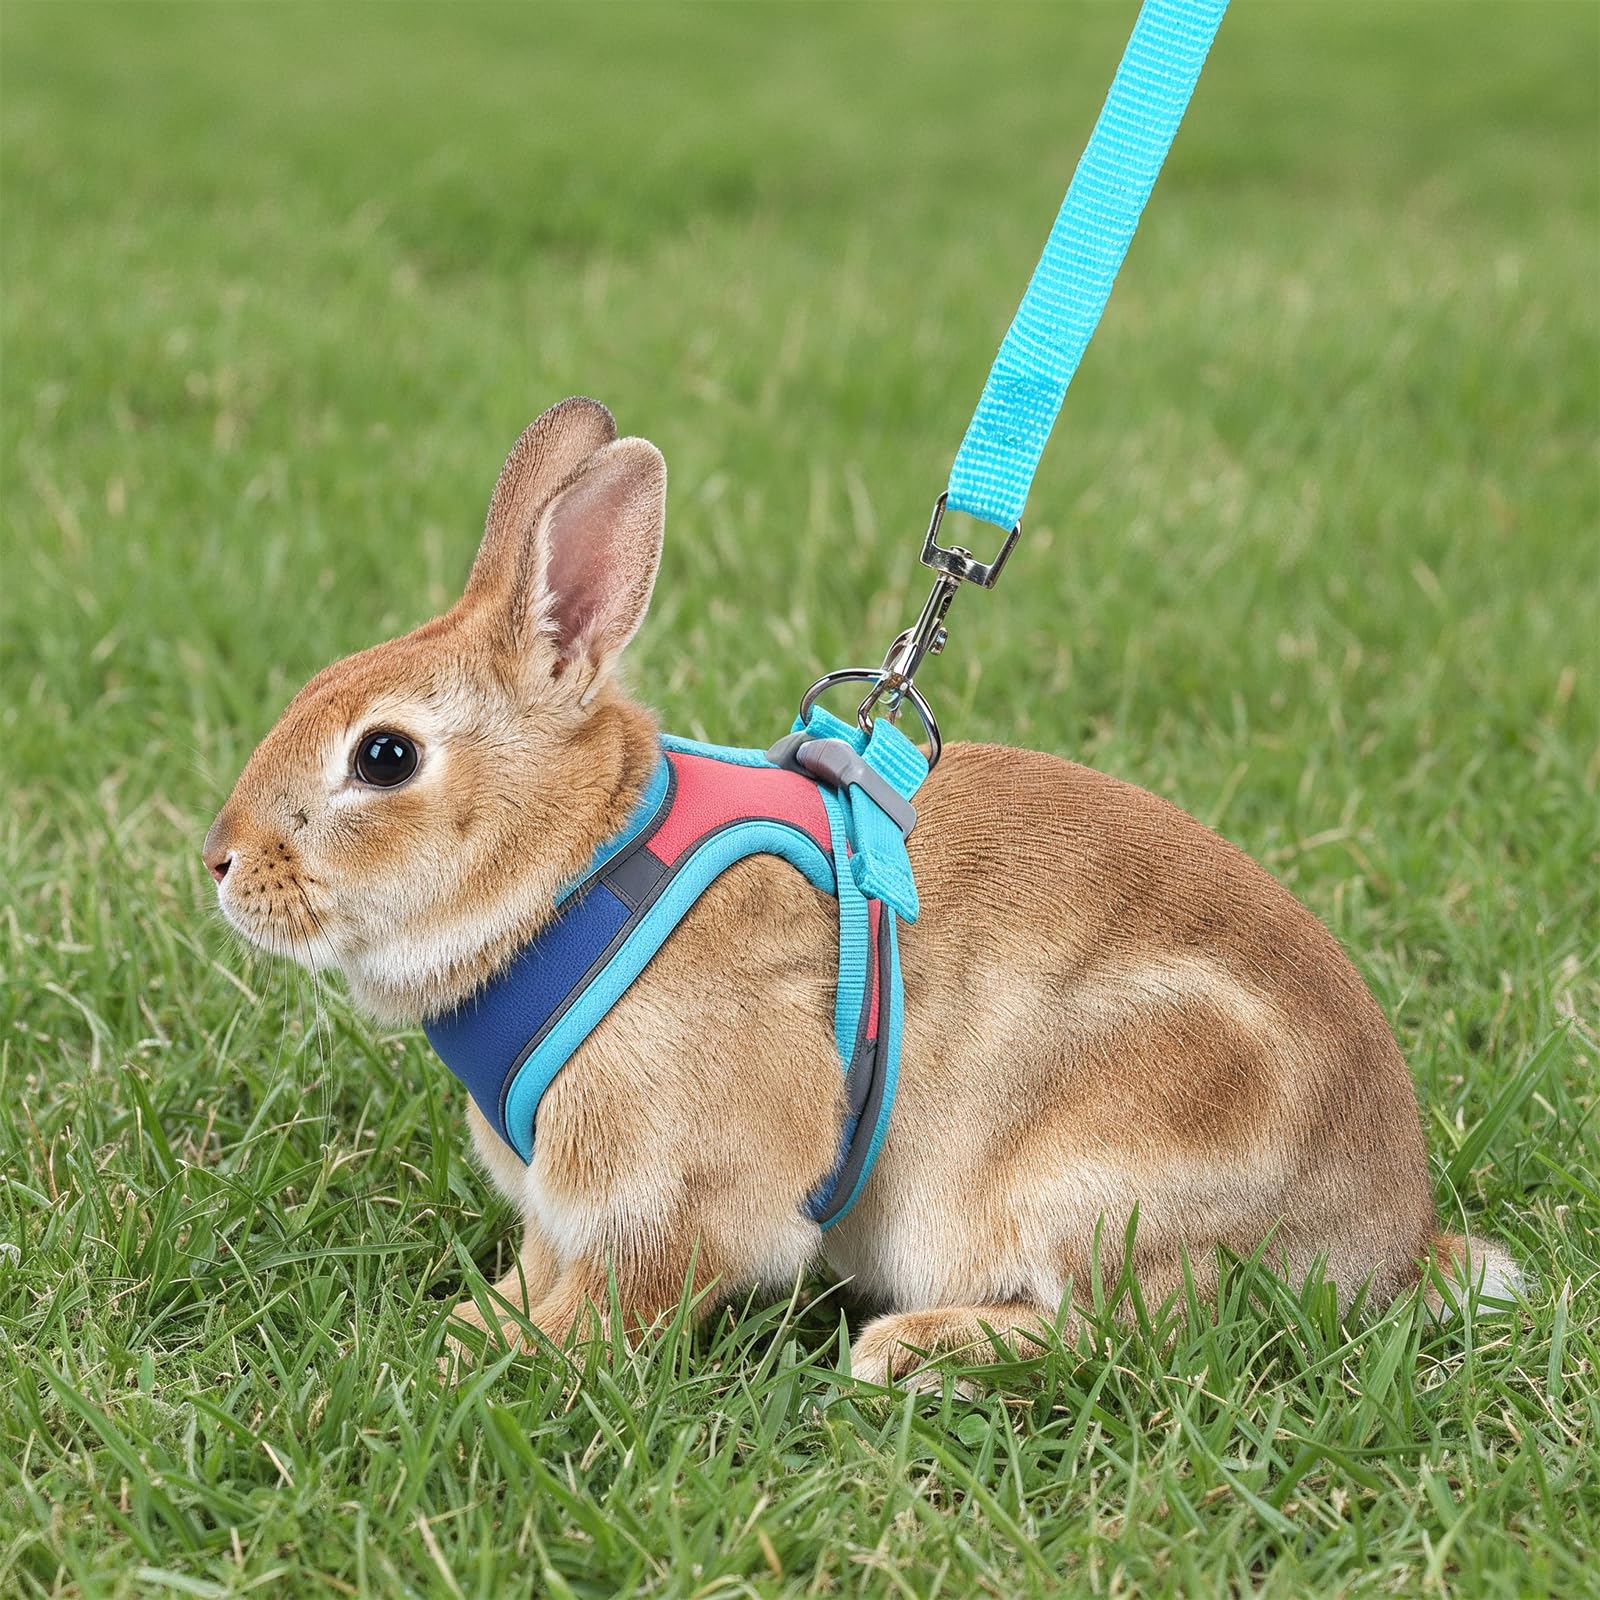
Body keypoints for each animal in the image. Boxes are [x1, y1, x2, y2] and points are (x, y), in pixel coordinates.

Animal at [204, 396, 1521, 1386]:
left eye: (385, 756)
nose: (219, 861)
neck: (575, 871)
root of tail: (1386, 1237)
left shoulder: (673, 1188)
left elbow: (636, 1289)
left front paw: (518, 1356)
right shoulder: (559, 1204)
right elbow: (541, 1262)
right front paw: (483, 1324)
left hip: (1114, 1165)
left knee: (1133, 1329)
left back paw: (914, 1349)